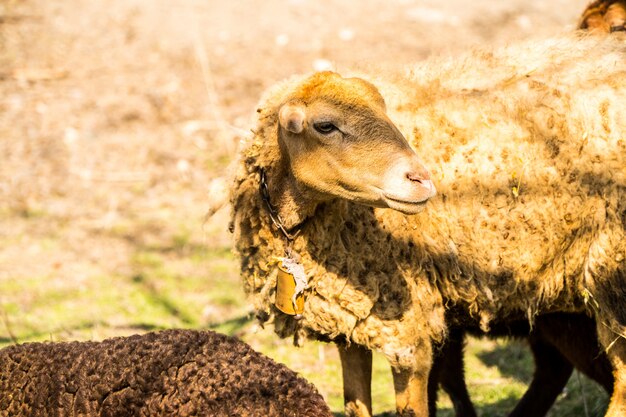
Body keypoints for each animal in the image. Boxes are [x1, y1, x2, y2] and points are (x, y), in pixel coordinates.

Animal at [229, 34, 624, 416]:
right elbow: (356, 403)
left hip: (610, 273)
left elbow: (414, 405)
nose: (421, 179)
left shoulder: (408, 325)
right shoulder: (348, 321)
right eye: (325, 126)